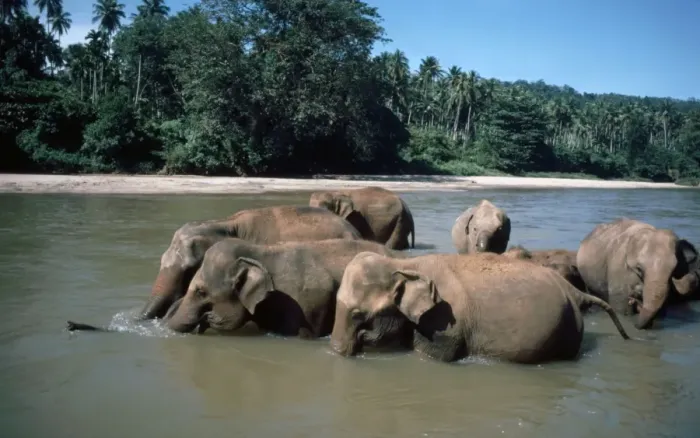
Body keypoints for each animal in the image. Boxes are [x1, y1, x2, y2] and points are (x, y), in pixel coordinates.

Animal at [330, 252, 630, 364]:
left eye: (358, 315)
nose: (335, 352)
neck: (404, 264)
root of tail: (573, 290)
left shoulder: (444, 326)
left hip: (569, 330)